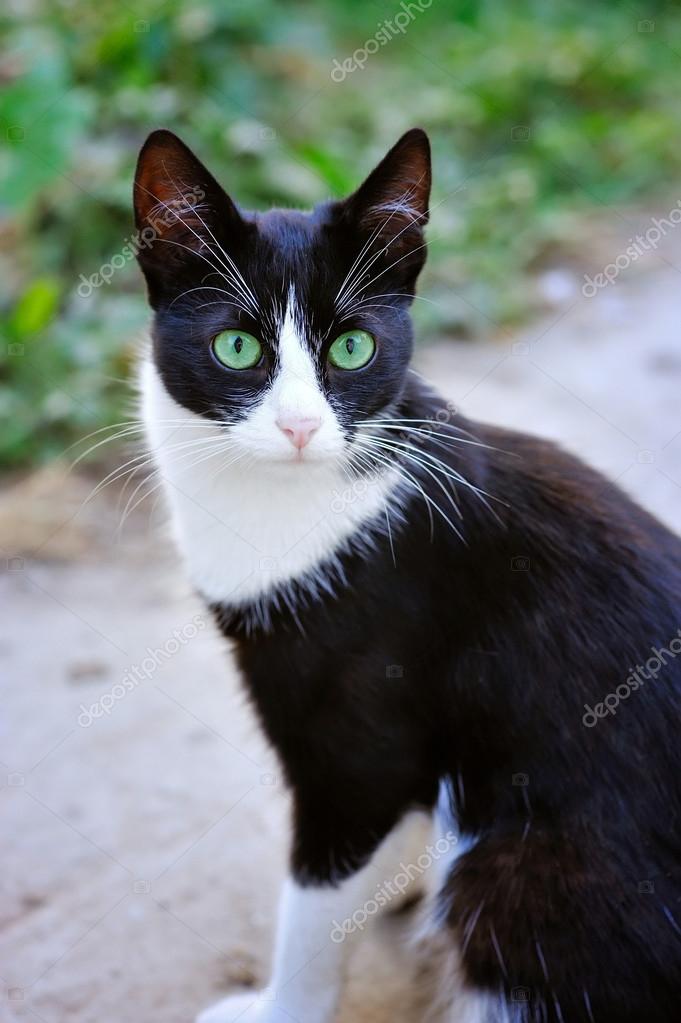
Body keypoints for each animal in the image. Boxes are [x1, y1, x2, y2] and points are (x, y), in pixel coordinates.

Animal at [133, 129, 678, 1023]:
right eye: (236, 346)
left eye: (351, 347)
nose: (298, 426)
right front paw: (393, 876)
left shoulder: (363, 741)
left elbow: (315, 899)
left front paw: (281, 1005)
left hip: (518, 876)